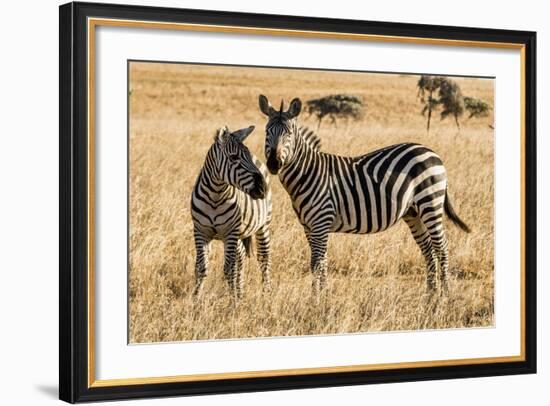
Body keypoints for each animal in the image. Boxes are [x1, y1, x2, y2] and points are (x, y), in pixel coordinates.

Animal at [192, 125, 274, 300]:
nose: (262, 188)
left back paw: (266, 295)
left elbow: (229, 270)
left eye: (247, 156)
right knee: (241, 257)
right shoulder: (200, 231)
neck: (215, 196)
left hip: (263, 225)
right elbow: (201, 268)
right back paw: (240, 291)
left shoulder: (230, 233)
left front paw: (232, 304)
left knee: (264, 258)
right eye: (234, 157)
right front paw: (195, 300)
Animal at [258, 95, 470, 294]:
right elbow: (320, 262)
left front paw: (317, 297)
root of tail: (432, 152)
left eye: (289, 133)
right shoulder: (309, 227)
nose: (274, 164)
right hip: (413, 212)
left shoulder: (321, 223)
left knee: (442, 248)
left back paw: (445, 294)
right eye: (267, 131)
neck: (308, 173)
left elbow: (317, 263)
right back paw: (430, 294)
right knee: (428, 250)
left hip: (430, 203)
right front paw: (320, 294)